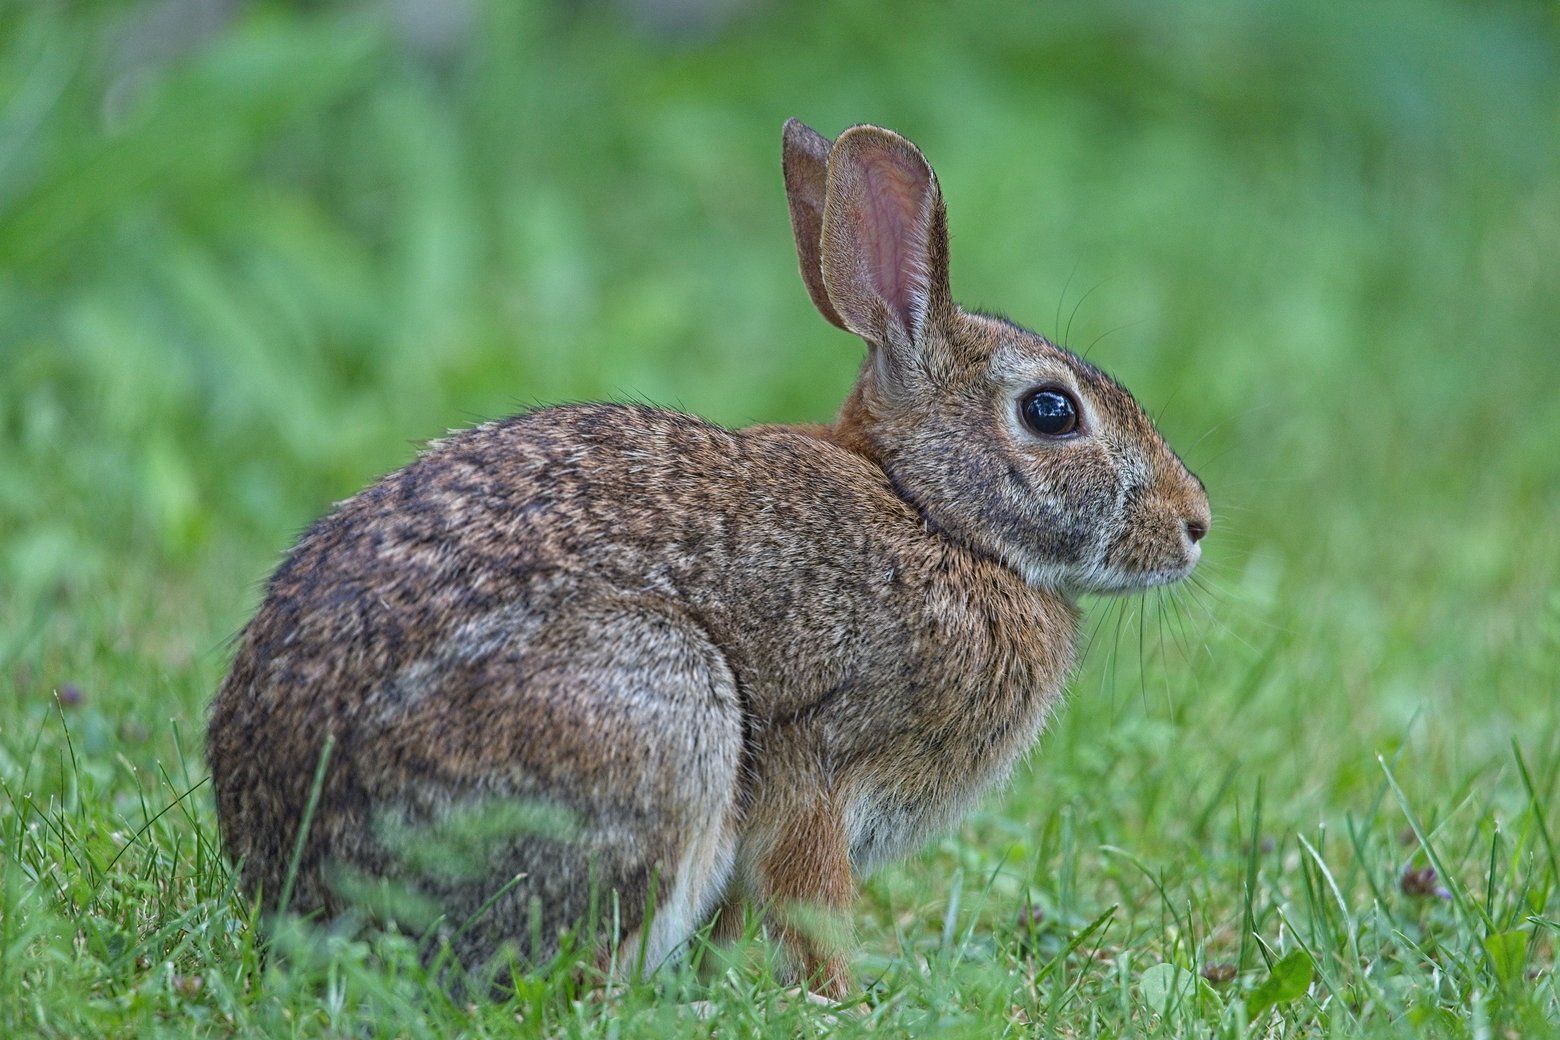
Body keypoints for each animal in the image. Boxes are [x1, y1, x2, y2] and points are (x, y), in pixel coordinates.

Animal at [206, 119, 1211, 999]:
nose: (1196, 522)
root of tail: (299, 889)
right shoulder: (819, 767)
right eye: (1051, 411)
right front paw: (841, 1001)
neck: (931, 515)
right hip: (659, 708)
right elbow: (812, 905)